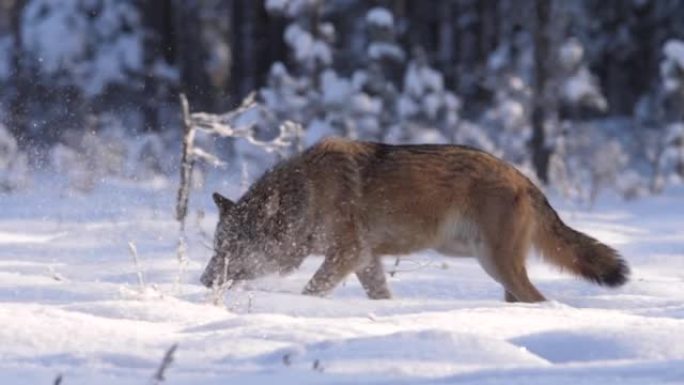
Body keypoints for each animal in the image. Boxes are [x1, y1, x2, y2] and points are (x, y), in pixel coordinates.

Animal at [199, 136, 632, 302]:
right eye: (217, 245)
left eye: (231, 246)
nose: (203, 281)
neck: (306, 197)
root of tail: (525, 180)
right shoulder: (364, 259)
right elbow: (380, 294)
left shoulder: (345, 254)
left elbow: (311, 290)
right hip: (492, 267)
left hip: (496, 265)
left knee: (538, 299)